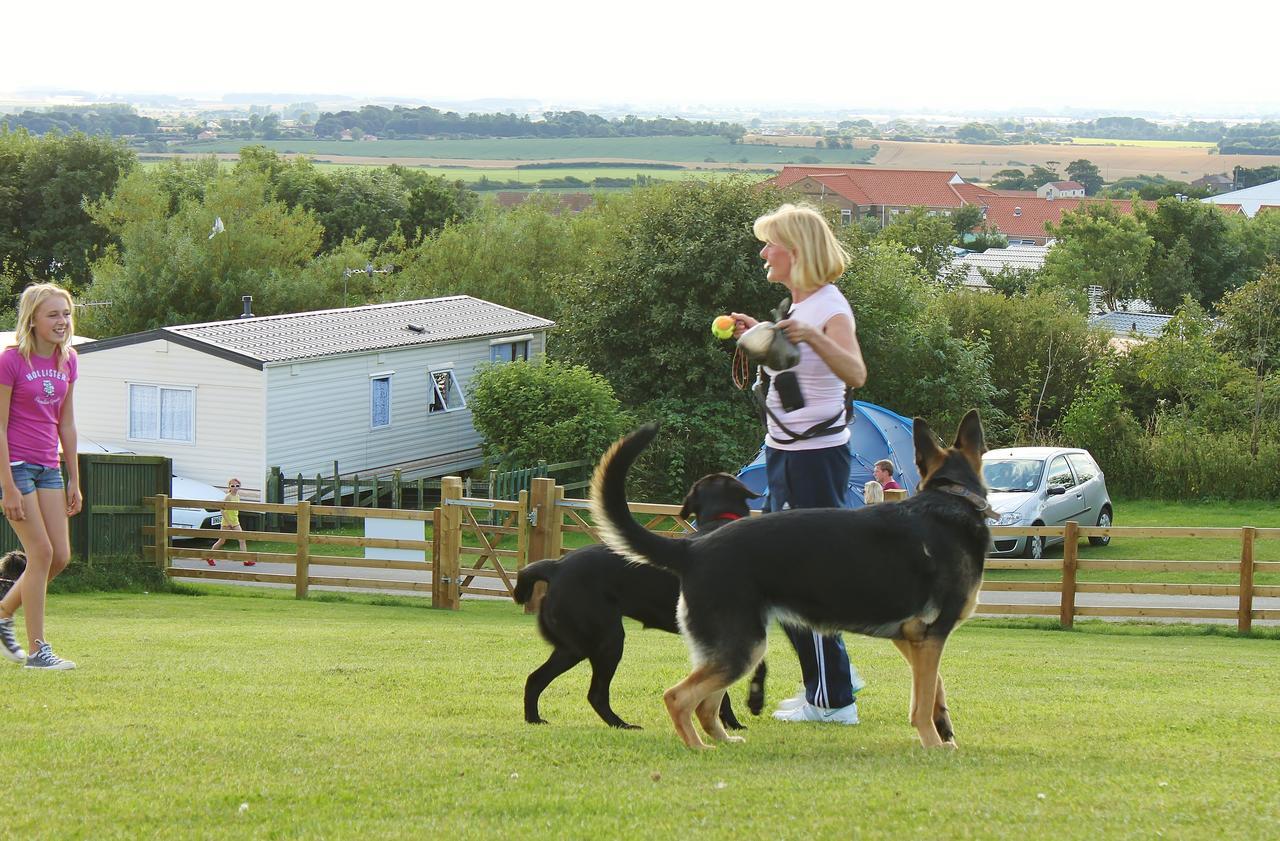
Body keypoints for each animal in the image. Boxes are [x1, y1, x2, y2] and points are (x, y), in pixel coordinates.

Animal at [512, 471, 768, 727]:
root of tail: (556, 566)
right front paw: (735, 719)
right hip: (604, 641)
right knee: (594, 693)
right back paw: (620, 724)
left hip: (574, 646)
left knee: (535, 679)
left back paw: (534, 718)